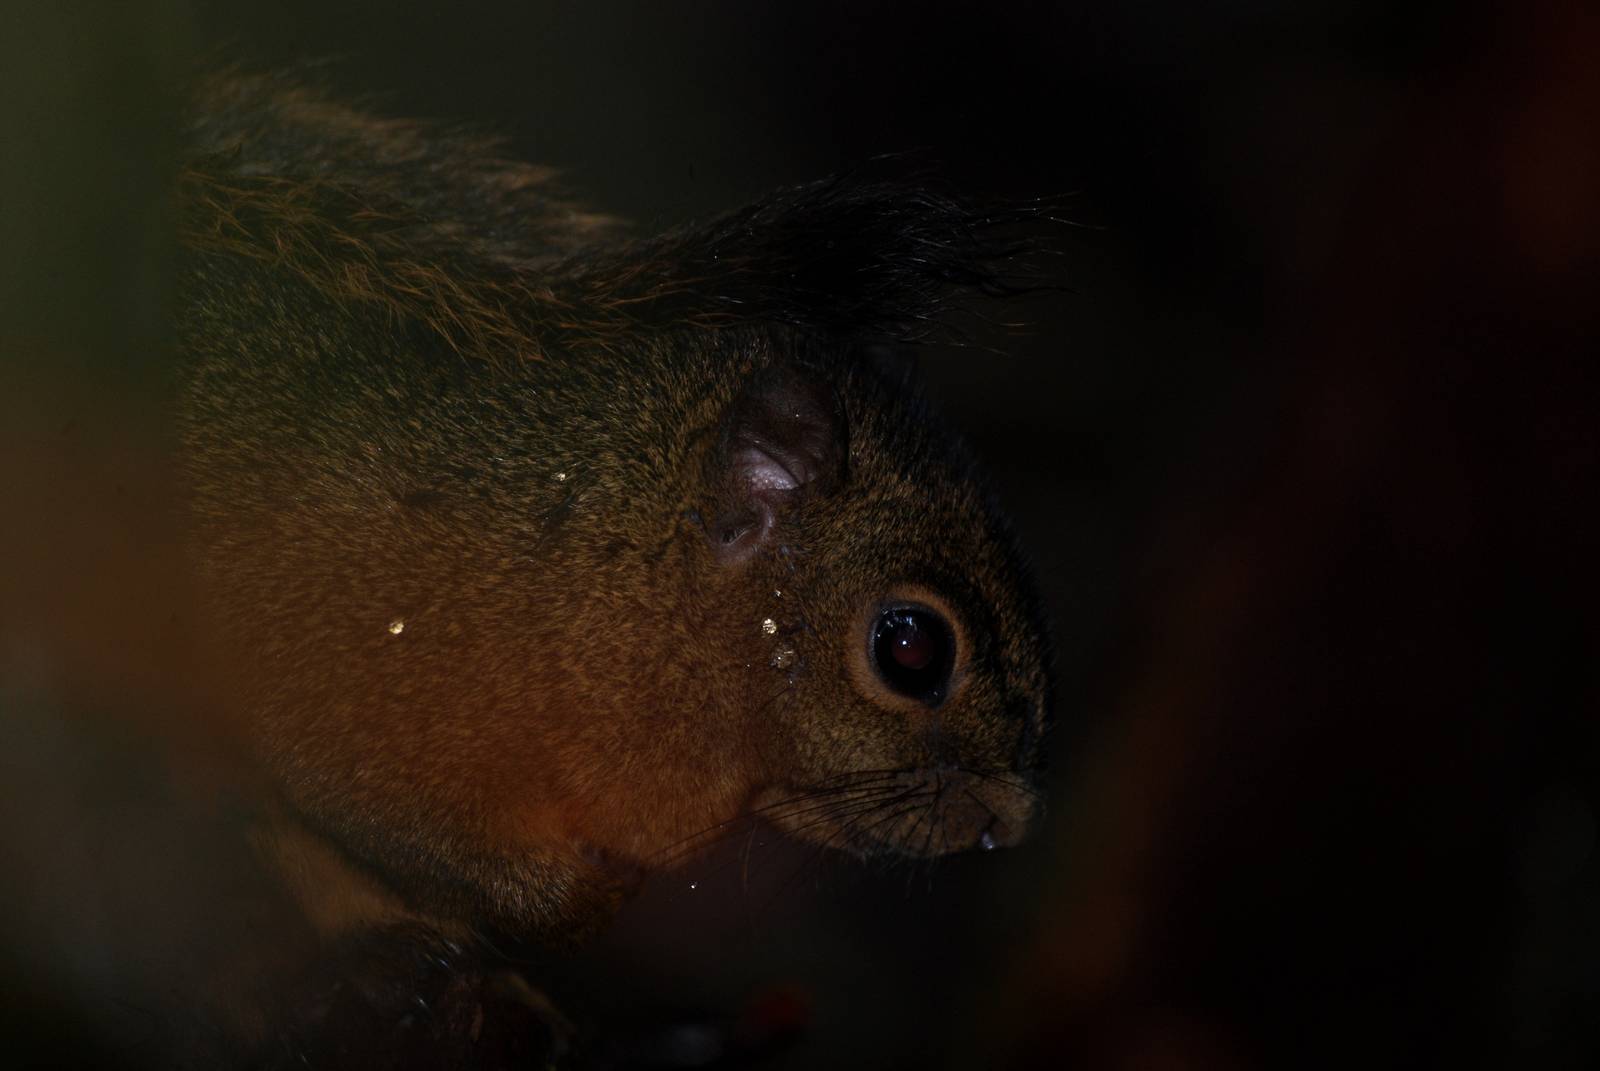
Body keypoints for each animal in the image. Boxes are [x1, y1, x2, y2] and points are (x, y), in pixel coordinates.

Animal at [173, 69, 1053, 1058]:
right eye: (911, 648)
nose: (1010, 821)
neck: (605, 579)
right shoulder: (325, 645)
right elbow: (349, 801)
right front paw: (584, 901)